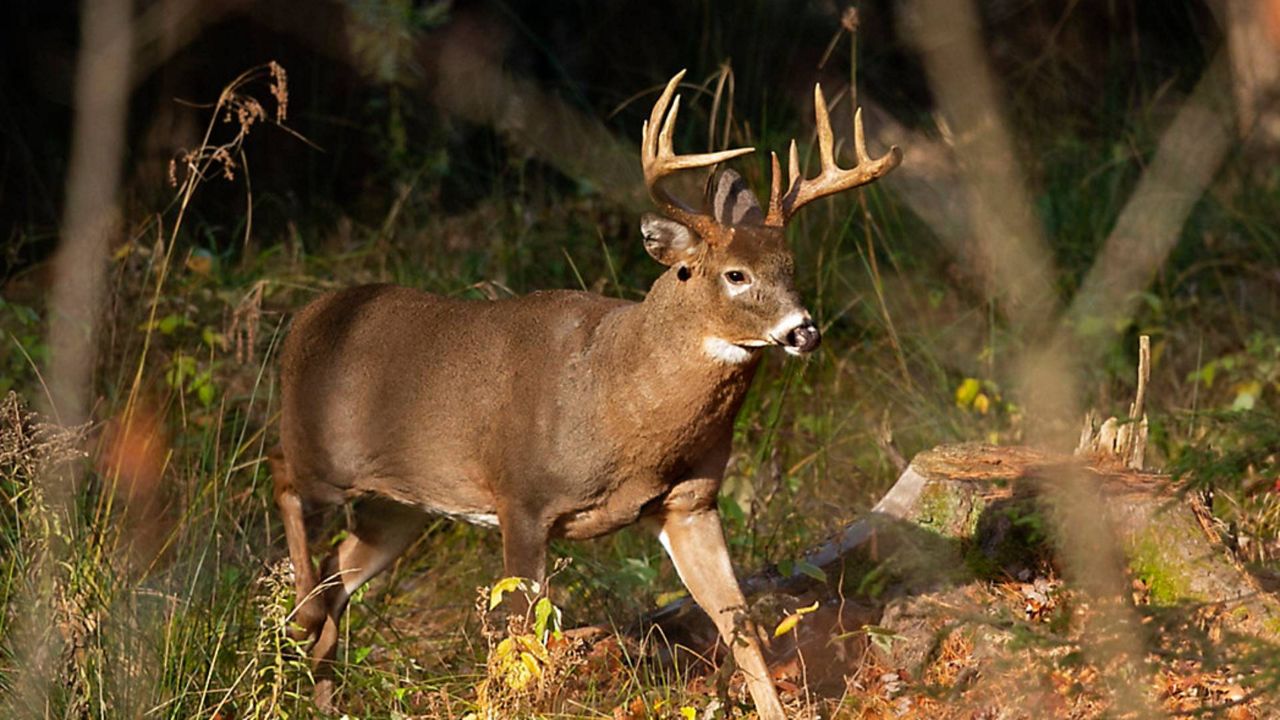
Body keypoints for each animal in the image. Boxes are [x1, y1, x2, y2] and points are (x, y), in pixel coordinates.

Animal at [270, 70, 901, 712]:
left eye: (790, 267)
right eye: (735, 274)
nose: (805, 331)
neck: (619, 402)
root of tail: (304, 320)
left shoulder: (690, 502)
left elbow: (738, 620)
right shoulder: (521, 496)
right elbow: (520, 639)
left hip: (399, 504)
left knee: (341, 568)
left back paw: (320, 686)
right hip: (322, 452)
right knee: (283, 481)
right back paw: (301, 620)